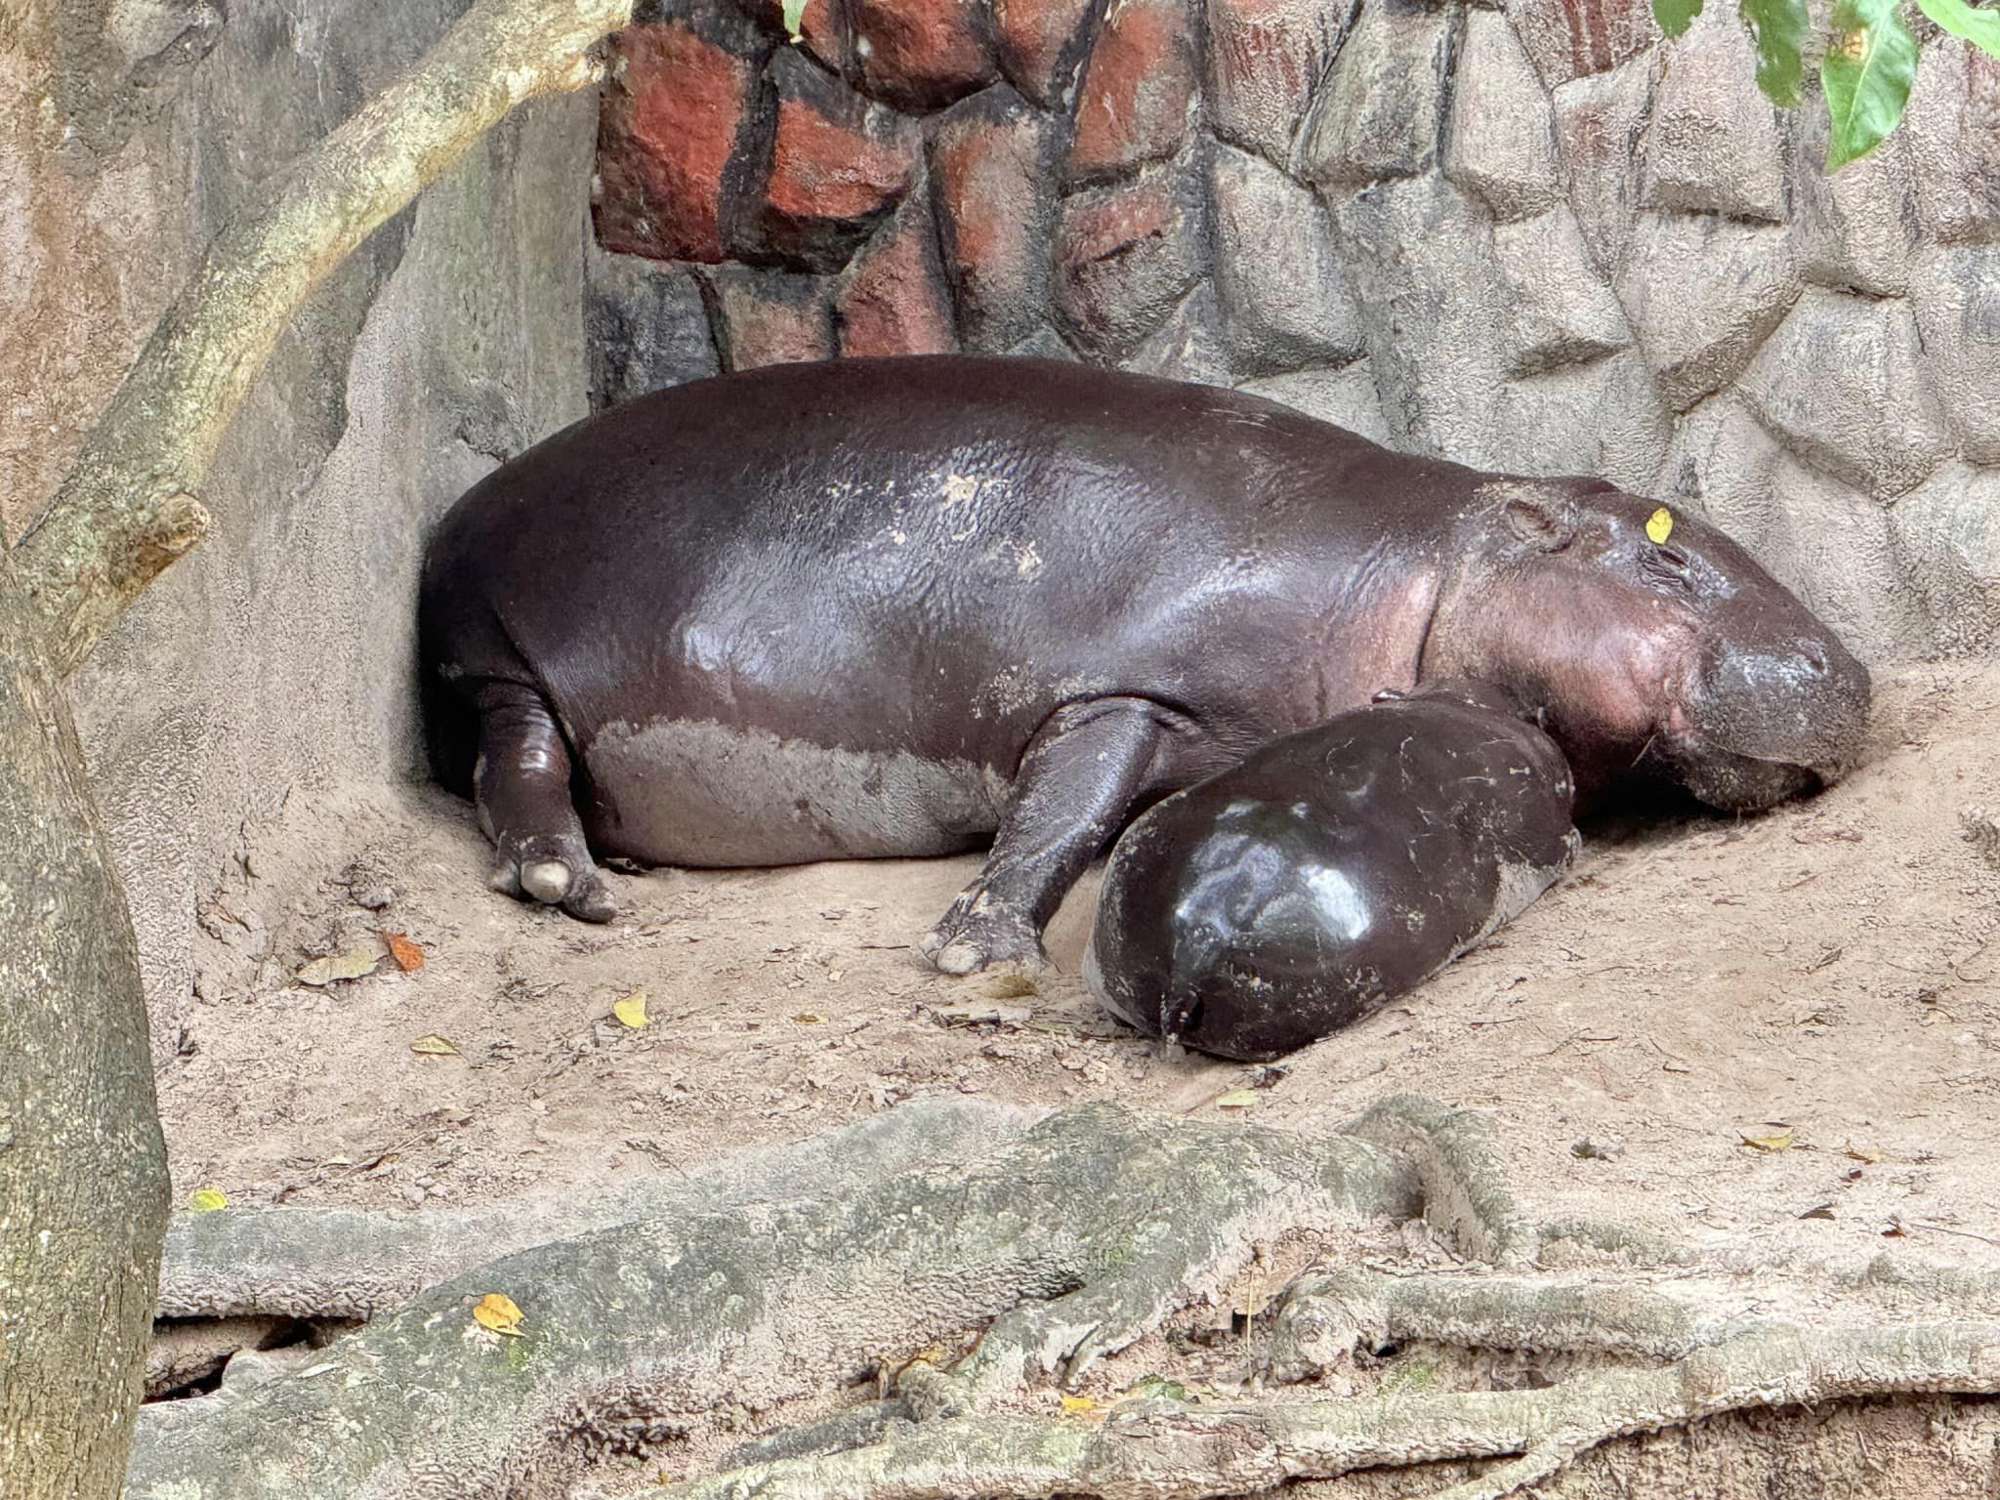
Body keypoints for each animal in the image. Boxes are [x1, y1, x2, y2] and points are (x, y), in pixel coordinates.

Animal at [422, 354, 1872, 976]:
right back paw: (571, 889)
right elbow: (1060, 818)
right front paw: (974, 953)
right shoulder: (1125, 688)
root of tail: (458, 522)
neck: (1426, 562)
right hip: (503, 652)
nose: (1845, 670)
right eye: (1666, 547)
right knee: (519, 758)